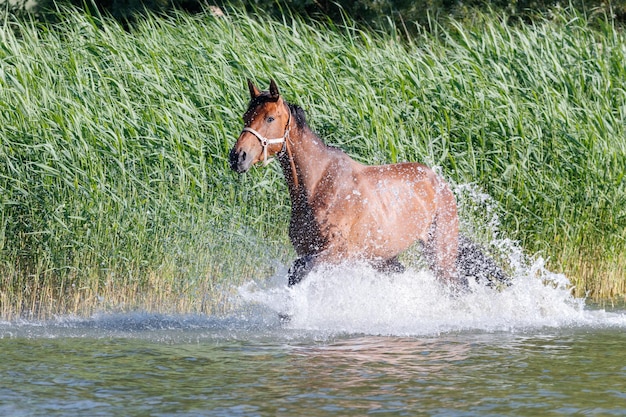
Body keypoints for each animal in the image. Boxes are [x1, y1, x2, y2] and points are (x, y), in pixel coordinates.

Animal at [230, 80, 508, 290]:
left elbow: (299, 271)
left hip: (440, 252)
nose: (237, 157)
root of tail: (439, 182)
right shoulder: (307, 250)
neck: (317, 186)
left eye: (270, 118)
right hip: (386, 257)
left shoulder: (336, 253)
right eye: (246, 116)